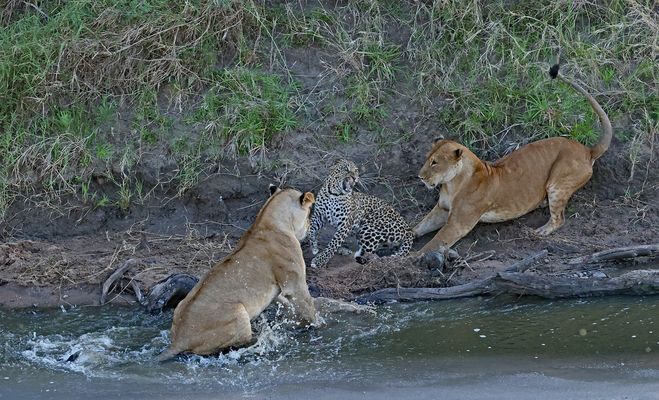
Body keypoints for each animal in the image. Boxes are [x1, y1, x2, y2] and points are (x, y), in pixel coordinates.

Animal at [157, 185, 317, 360]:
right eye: (309, 214)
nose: (309, 226)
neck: (267, 221)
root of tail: (179, 340)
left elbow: (285, 301)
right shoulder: (294, 282)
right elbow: (308, 305)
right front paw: (318, 325)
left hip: (181, 306)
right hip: (238, 312)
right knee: (234, 344)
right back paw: (259, 338)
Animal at [414, 64, 612, 254]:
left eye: (434, 163)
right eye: (427, 159)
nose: (420, 177)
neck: (451, 184)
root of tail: (587, 150)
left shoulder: (458, 223)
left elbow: (434, 243)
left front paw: (412, 258)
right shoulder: (441, 209)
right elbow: (419, 227)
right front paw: (408, 236)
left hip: (557, 183)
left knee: (559, 219)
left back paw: (541, 231)